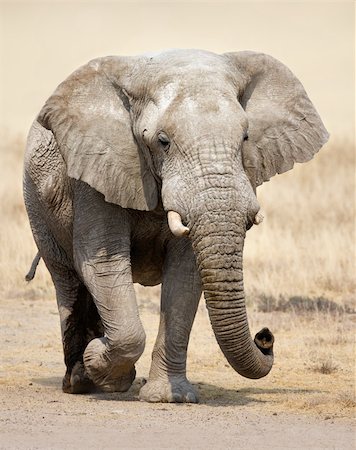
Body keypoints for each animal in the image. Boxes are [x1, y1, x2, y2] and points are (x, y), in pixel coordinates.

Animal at [22, 47, 328, 402]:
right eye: (163, 141)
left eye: (245, 138)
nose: (265, 337)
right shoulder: (96, 171)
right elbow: (103, 264)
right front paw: (101, 363)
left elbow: (185, 273)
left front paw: (169, 397)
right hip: (37, 205)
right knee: (69, 280)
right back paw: (81, 382)